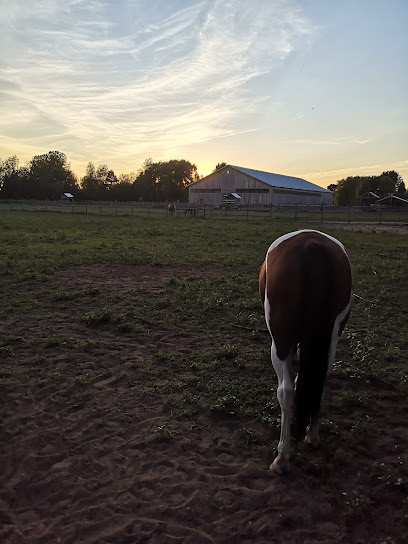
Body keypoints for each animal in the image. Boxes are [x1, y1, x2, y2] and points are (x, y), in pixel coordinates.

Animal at [260, 227, 352, 474]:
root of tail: (312, 246)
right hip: (331, 337)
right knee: (321, 380)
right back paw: (312, 435)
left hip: (280, 341)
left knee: (287, 391)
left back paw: (282, 458)